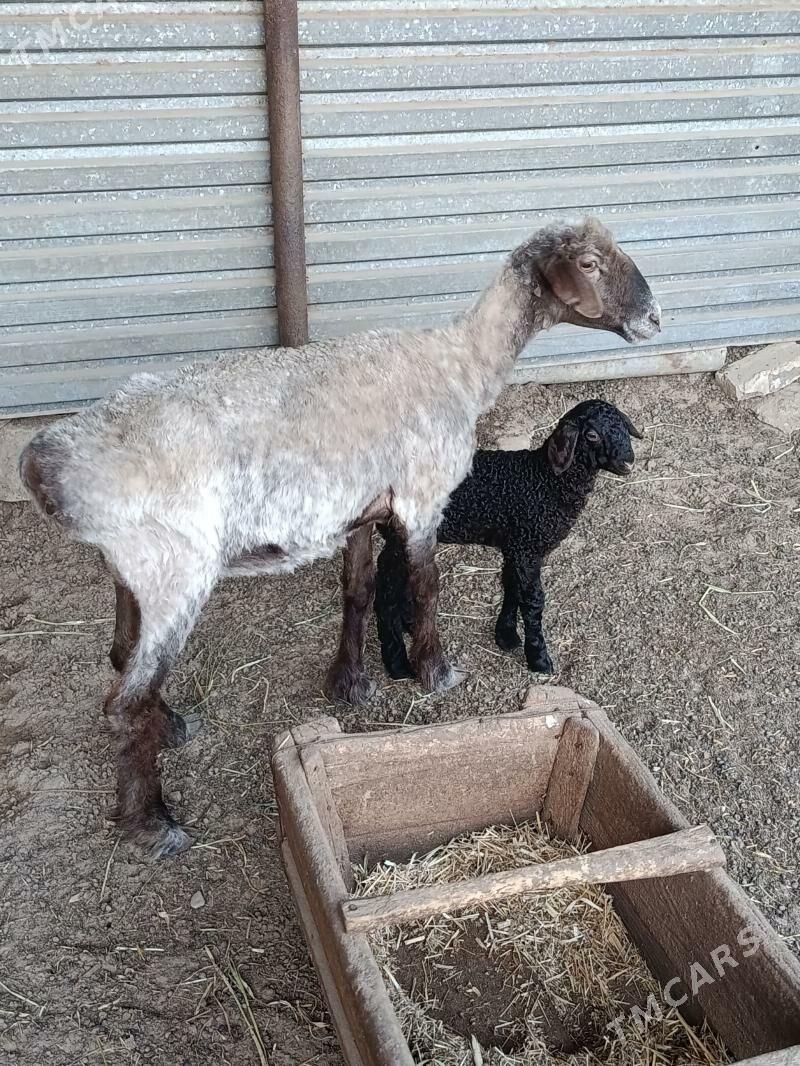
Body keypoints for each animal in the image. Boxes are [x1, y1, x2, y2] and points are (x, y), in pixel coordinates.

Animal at [374, 400, 643, 679]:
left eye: (623, 425)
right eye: (591, 435)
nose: (628, 461)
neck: (546, 481)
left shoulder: (517, 547)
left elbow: (513, 587)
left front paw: (506, 634)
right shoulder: (527, 548)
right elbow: (533, 601)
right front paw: (538, 658)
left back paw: (409, 624)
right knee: (385, 594)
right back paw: (397, 664)